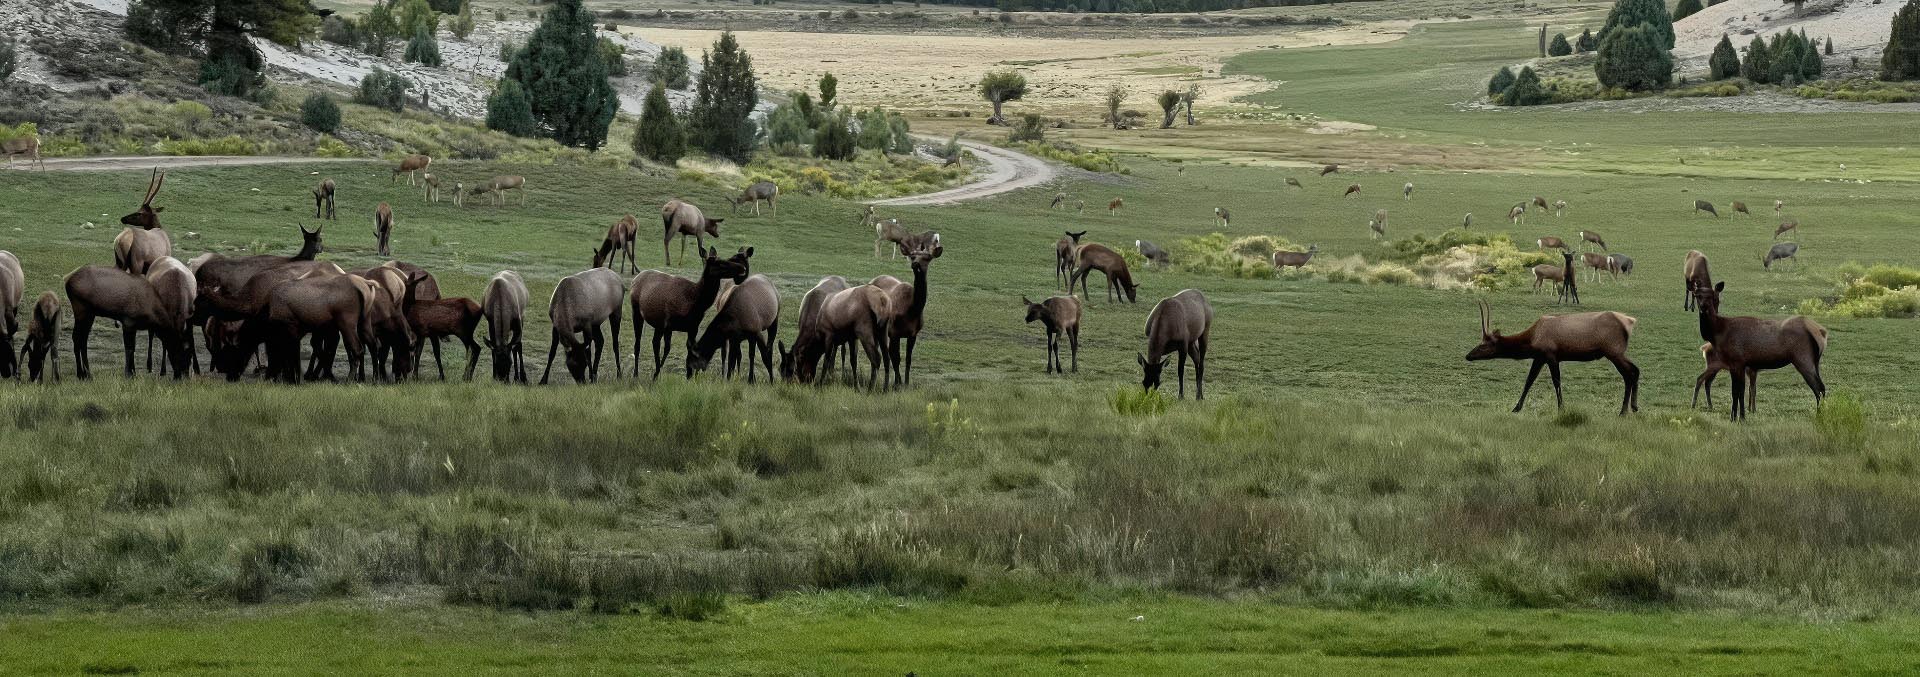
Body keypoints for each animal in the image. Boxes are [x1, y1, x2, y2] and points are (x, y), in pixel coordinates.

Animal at [631, 246, 752, 380]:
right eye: (719, 263)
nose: (742, 268)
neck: (697, 303)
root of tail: (635, 278)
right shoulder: (666, 323)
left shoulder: (692, 327)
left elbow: (690, 351)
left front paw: (690, 376)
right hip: (638, 311)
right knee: (640, 343)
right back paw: (637, 374)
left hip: (662, 325)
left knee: (661, 346)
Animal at [869, 236, 943, 387]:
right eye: (912, 256)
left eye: (927, 257)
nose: (915, 264)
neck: (912, 311)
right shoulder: (894, 332)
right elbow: (896, 358)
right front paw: (897, 384)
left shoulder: (913, 333)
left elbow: (908, 358)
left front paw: (906, 383)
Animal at [1467, 300, 1639, 415]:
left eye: (1483, 345)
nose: (1468, 356)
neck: (1532, 339)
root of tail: (1630, 322)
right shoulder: (1539, 357)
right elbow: (1529, 381)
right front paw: (1516, 408)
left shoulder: (1551, 355)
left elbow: (1556, 381)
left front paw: (1561, 409)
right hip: (1618, 352)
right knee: (1635, 370)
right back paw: (1634, 407)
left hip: (1613, 351)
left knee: (1628, 374)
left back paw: (1623, 411)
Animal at [1694, 281, 1828, 421]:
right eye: (1697, 295)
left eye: (1711, 296)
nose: (1703, 307)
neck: (1717, 334)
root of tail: (1821, 332)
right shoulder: (1740, 365)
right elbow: (1740, 391)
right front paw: (1739, 417)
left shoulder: (1737, 361)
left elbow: (1737, 391)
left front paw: (1736, 418)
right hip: (1814, 361)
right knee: (1821, 387)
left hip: (1802, 358)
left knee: (1819, 387)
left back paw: (1820, 415)